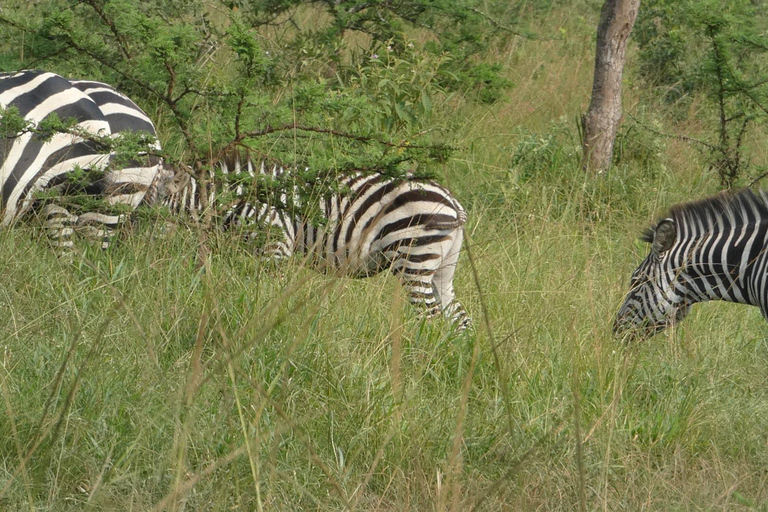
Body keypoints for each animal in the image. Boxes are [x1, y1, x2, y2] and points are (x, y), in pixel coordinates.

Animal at [145, 154, 468, 330]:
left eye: (146, 207)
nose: (140, 257)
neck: (240, 202)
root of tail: (452, 200)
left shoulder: (276, 247)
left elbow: (268, 297)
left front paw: (268, 329)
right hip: (441, 266)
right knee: (459, 318)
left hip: (414, 259)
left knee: (430, 317)